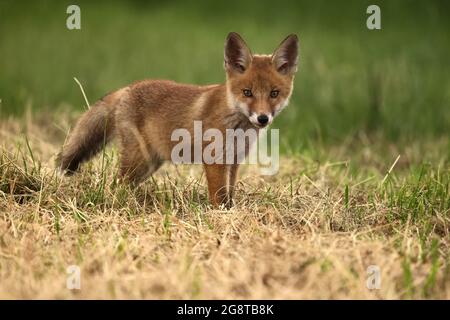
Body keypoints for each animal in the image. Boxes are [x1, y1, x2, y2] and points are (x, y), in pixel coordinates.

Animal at [59, 32, 298, 208]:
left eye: (274, 93)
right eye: (247, 92)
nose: (262, 118)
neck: (238, 128)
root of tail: (127, 88)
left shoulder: (234, 160)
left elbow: (229, 194)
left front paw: (231, 213)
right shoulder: (215, 160)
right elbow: (218, 197)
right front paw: (219, 216)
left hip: (149, 163)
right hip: (139, 159)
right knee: (116, 184)